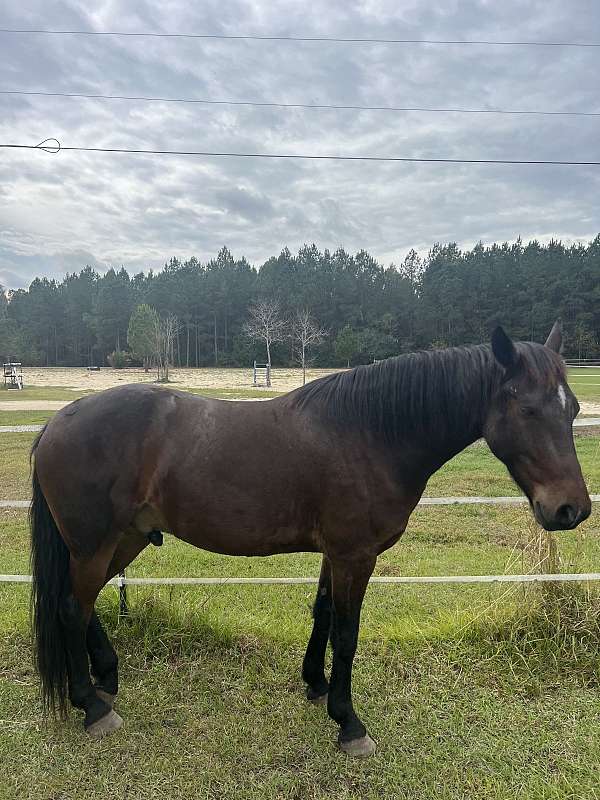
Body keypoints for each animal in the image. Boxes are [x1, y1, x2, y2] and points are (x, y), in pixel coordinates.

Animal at [29, 322, 592, 752]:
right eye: (528, 410)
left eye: (572, 410)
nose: (571, 509)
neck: (370, 434)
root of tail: (56, 422)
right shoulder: (354, 556)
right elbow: (346, 633)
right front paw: (349, 723)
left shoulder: (334, 554)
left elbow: (322, 614)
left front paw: (317, 686)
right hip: (94, 543)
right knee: (71, 608)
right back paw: (91, 705)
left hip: (124, 538)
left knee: (84, 603)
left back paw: (106, 678)